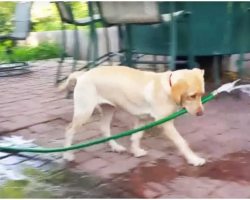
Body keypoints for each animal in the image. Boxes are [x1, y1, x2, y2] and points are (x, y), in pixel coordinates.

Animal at [59, 66, 205, 166]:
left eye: (202, 94)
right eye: (192, 96)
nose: (201, 113)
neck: (168, 87)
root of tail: (82, 75)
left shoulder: (143, 119)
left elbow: (136, 136)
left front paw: (136, 151)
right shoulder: (166, 123)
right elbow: (181, 142)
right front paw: (194, 159)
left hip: (109, 109)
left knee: (104, 129)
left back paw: (116, 147)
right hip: (84, 112)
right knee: (69, 129)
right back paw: (67, 154)